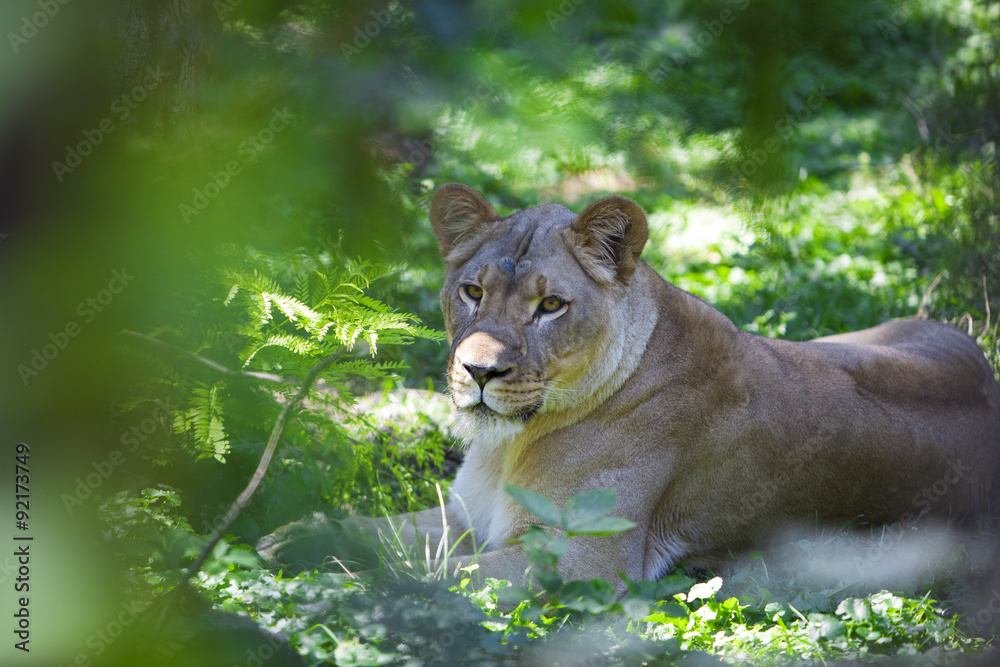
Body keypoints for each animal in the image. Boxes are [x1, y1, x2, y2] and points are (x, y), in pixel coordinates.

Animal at [258, 183, 1000, 594]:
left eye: (549, 306)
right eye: (472, 292)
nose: (478, 373)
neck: (509, 447)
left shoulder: (589, 559)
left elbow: (428, 574)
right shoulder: (464, 516)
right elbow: (377, 532)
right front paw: (287, 539)